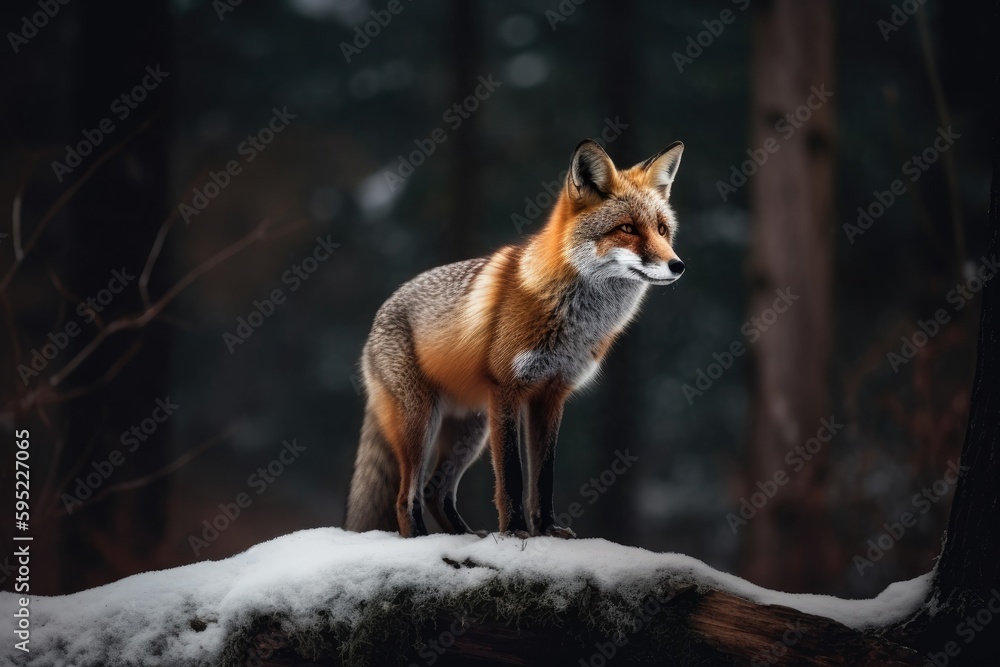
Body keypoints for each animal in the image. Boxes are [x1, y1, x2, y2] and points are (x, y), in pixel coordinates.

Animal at [345, 138, 686, 538]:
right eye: (628, 228)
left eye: (662, 230)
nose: (678, 266)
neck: (573, 319)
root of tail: (380, 313)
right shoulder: (507, 389)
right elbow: (512, 475)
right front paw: (516, 531)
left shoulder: (552, 394)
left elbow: (544, 477)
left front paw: (548, 530)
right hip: (421, 422)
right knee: (406, 497)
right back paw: (420, 539)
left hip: (470, 430)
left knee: (434, 491)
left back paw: (466, 536)